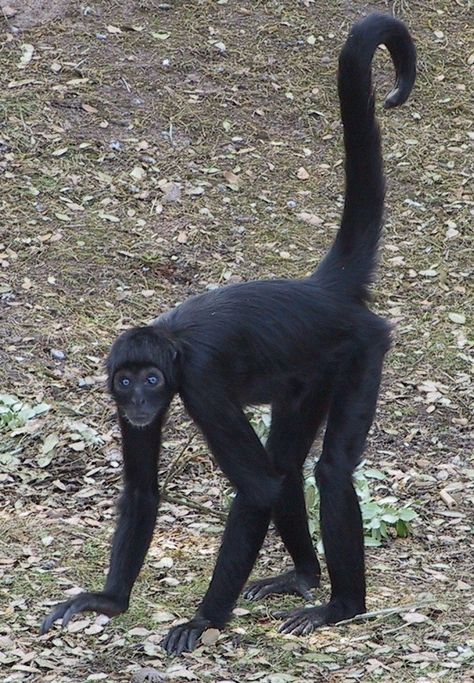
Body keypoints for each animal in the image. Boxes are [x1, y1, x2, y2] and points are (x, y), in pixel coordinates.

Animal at [42, 13, 416, 656]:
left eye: (152, 378)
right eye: (125, 381)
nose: (139, 398)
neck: (171, 344)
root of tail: (322, 290)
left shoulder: (200, 381)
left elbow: (259, 488)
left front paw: (204, 619)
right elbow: (145, 490)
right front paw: (110, 601)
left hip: (364, 350)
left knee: (326, 470)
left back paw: (341, 605)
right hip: (312, 370)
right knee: (287, 461)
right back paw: (303, 576)